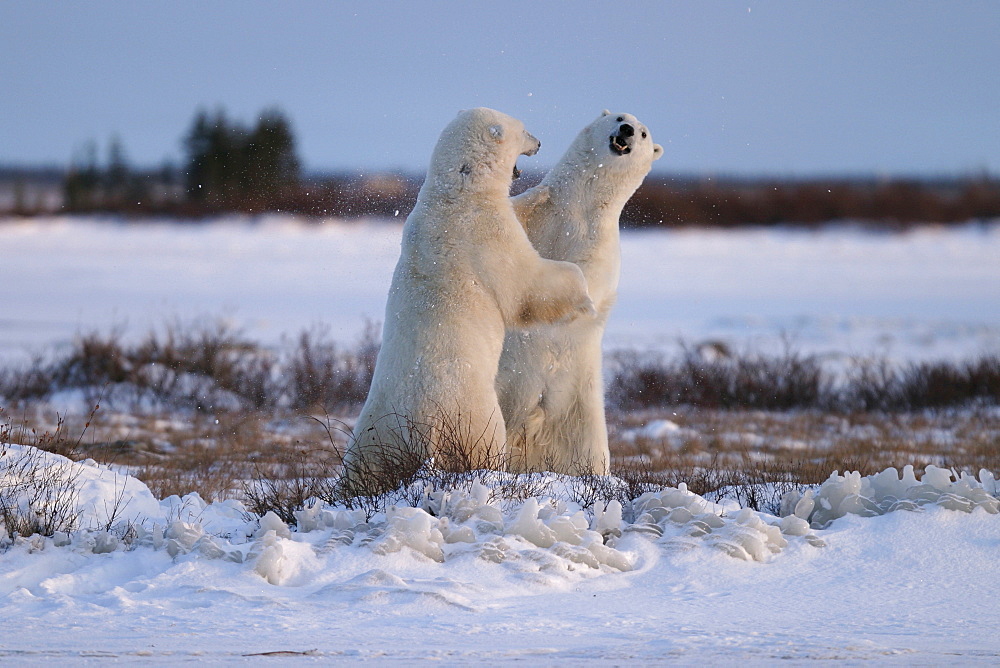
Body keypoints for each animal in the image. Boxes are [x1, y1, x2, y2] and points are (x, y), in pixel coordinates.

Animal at [344, 108, 592, 486]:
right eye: (523, 129)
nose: (538, 142)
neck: (457, 192)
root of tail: (420, 430)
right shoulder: (486, 232)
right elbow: (525, 286)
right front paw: (584, 294)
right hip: (474, 414)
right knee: (483, 445)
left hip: (374, 430)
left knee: (365, 463)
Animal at [498, 109, 664, 474]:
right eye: (619, 116)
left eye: (644, 134)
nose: (626, 130)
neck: (579, 207)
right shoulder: (538, 207)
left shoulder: (600, 242)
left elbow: (589, 277)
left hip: (581, 411)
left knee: (586, 452)